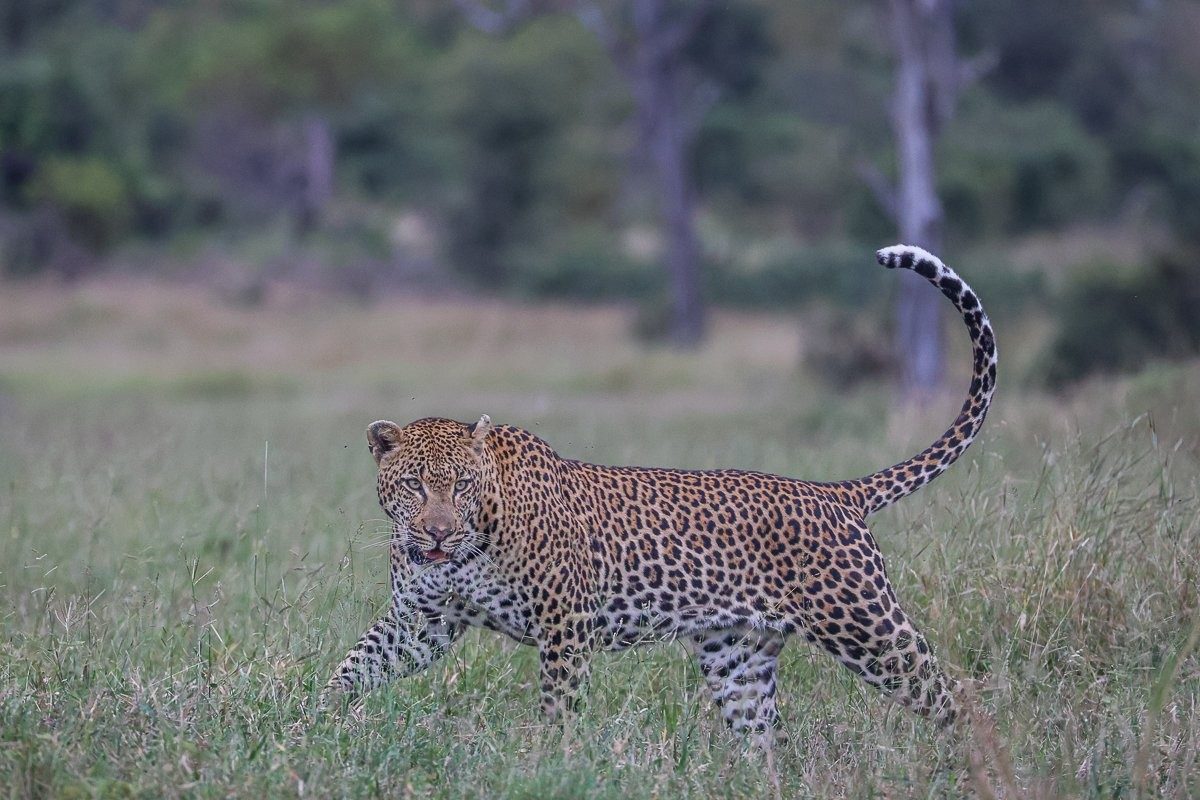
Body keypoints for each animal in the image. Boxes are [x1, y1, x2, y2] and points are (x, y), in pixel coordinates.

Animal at [322, 244, 997, 747]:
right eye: (414, 485)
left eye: (460, 484)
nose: (437, 532)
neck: (474, 535)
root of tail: (836, 493)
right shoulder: (423, 622)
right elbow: (355, 666)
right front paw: (313, 723)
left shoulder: (567, 624)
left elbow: (559, 706)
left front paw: (551, 761)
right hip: (737, 657)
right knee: (766, 741)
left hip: (866, 625)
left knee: (955, 700)